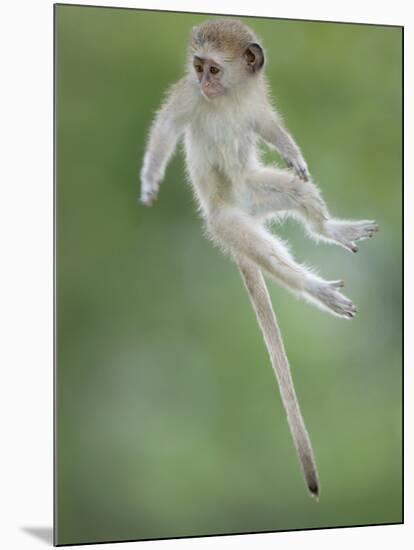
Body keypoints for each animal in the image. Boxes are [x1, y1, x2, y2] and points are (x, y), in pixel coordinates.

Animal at [140, 18, 378, 500]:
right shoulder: (187, 96)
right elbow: (168, 126)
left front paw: (293, 152)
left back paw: (330, 229)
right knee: (264, 251)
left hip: (257, 189)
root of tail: (238, 208)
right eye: (199, 68)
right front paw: (150, 178)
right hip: (228, 223)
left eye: (213, 68)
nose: (205, 82)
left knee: (300, 192)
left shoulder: (255, 103)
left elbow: (269, 127)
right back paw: (315, 287)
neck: (228, 97)